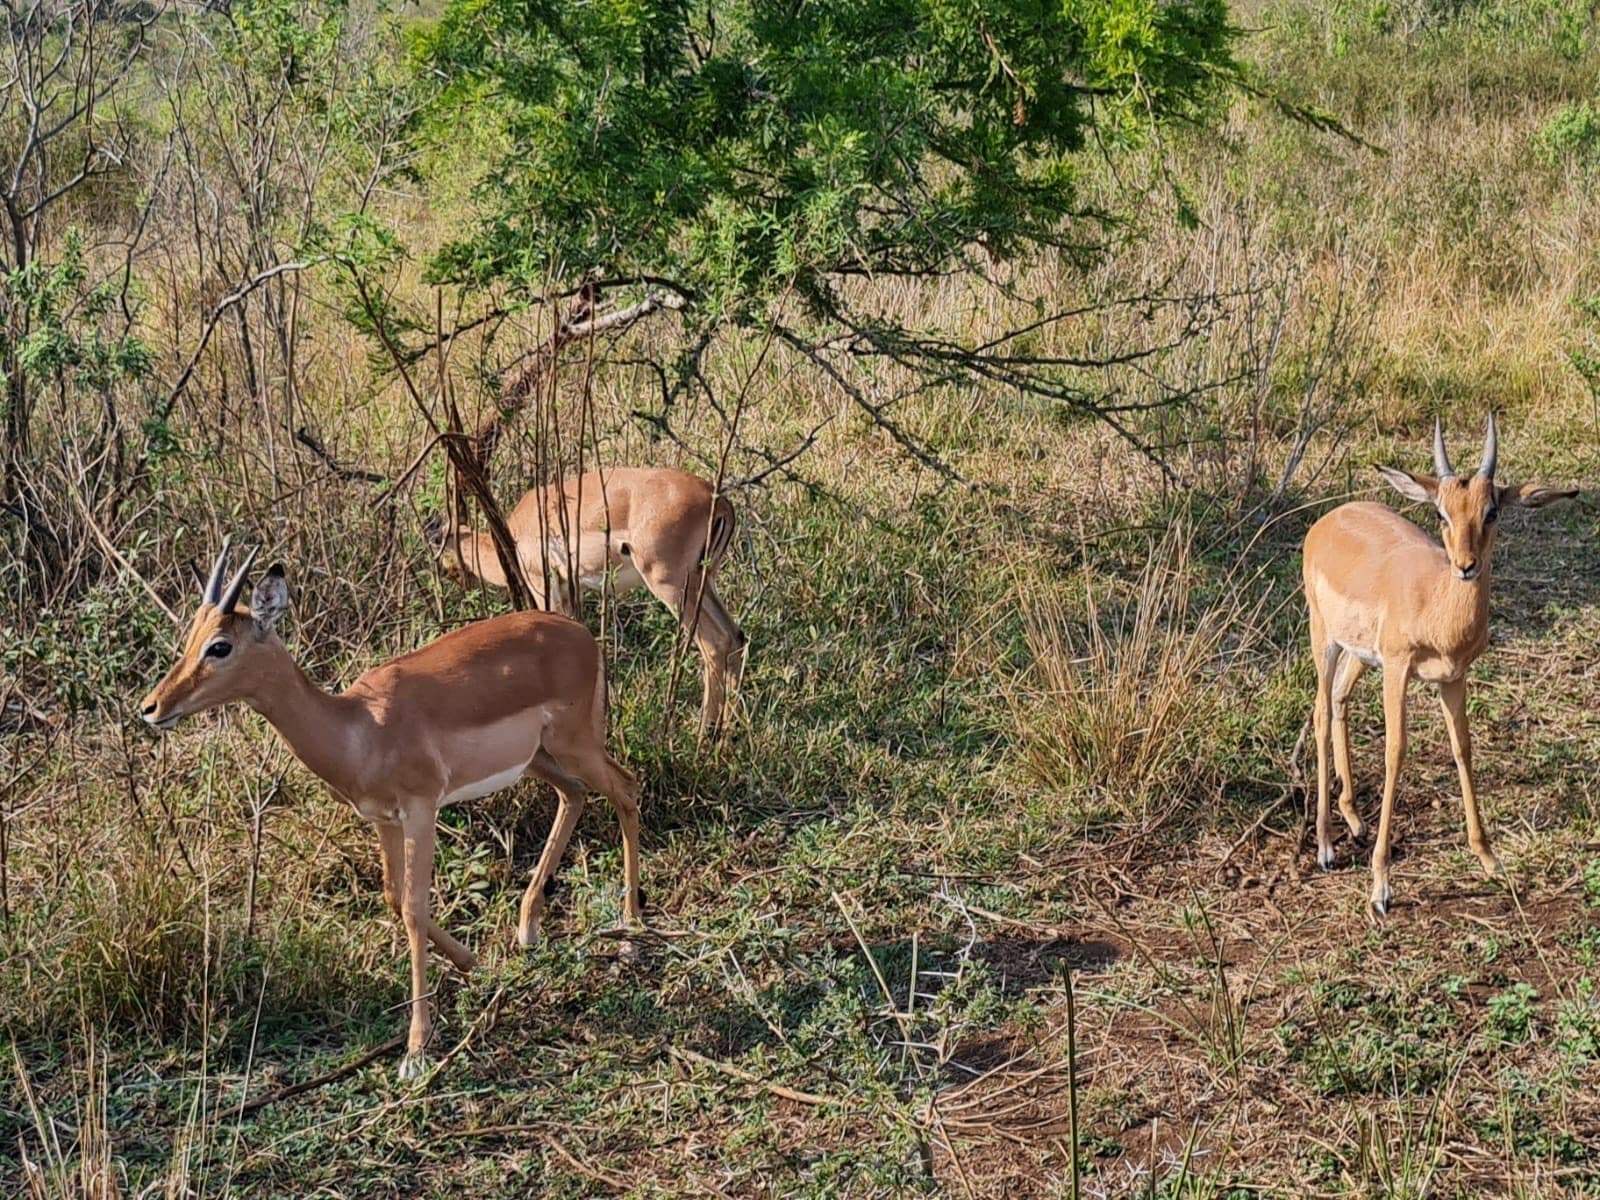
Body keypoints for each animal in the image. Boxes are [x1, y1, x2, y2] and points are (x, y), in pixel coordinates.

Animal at [139, 542, 643, 1079]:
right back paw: (528, 928)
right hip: (539, 759)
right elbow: (393, 897)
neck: (359, 729)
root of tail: (582, 635)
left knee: (626, 789)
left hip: (574, 745)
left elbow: (415, 910)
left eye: (220, 646)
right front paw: (474, 963)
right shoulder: (382, 820)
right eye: (191, 636)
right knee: (575, 795)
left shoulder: (422, 811)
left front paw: (416, 1050)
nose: (151, 707)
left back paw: (631, 928)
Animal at [428, 467, 747, 738]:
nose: (454, 577)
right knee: (736, 637)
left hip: (671, 586)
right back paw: (730, 731)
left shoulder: (543, 586)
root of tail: (718, 501)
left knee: (715, 643)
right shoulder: (572, 590)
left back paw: (703, 733)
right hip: (704, 583)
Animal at [1302, 415, 1577, 915]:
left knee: (1339, 699)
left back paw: (1354, 819)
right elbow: (1395, 751)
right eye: (1440, 514)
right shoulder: (1397, 670)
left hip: (1358, 654)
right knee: (1319, 712)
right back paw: (1327, 847)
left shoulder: (1454, 678)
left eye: (1491, 511)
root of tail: (1331, 518)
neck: (1435, 603)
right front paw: (1381, 886)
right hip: (1325, 640)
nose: (1466, 565)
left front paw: (1489, 859)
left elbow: (1463, 748)